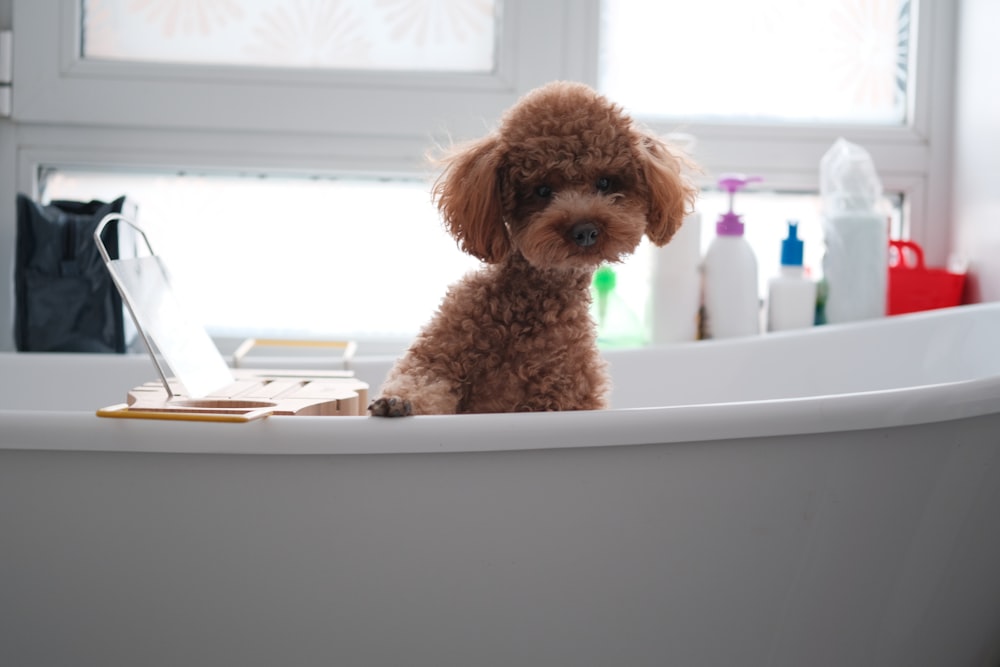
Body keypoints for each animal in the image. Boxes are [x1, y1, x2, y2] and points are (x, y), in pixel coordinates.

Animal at [368, 81, 696, 418]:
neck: (527, 307)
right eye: (542, 190)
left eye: (605, 183)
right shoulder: (439, 353)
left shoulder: (558, 396)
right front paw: (397, 402)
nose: (585, 231)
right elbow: (420, 379)